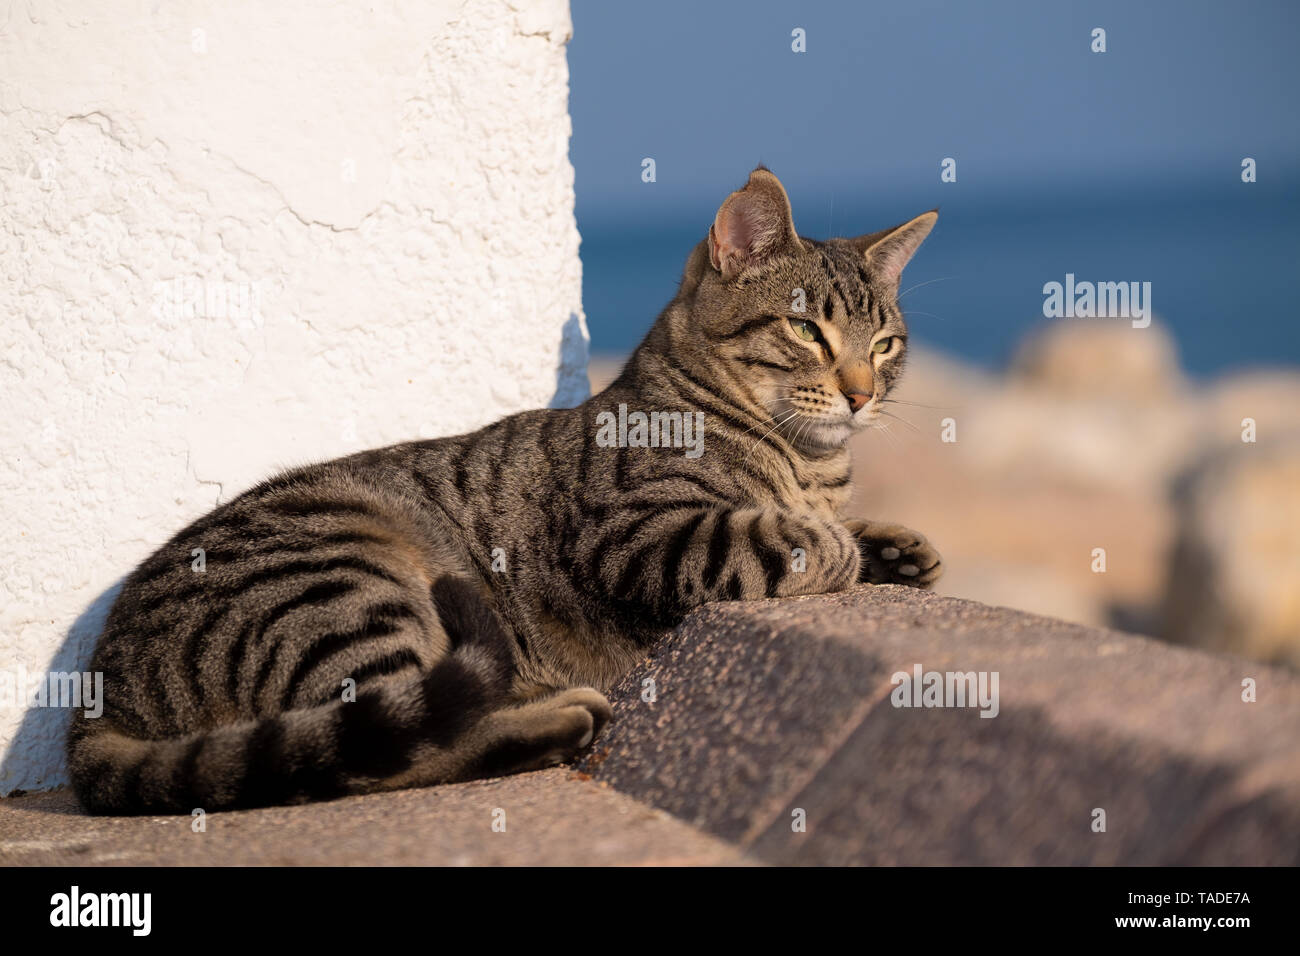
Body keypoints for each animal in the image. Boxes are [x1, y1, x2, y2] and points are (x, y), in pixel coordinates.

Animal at [71, 167, 941, 811]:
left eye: (886, 344)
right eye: (807, 330)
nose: (862, 394)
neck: (808, 461)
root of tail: (101, 686)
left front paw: (896, 546)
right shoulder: (645, 537)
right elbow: (782, 537)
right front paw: (839, 545)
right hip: (349, 587)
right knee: (386, 752)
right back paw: (552, 721)